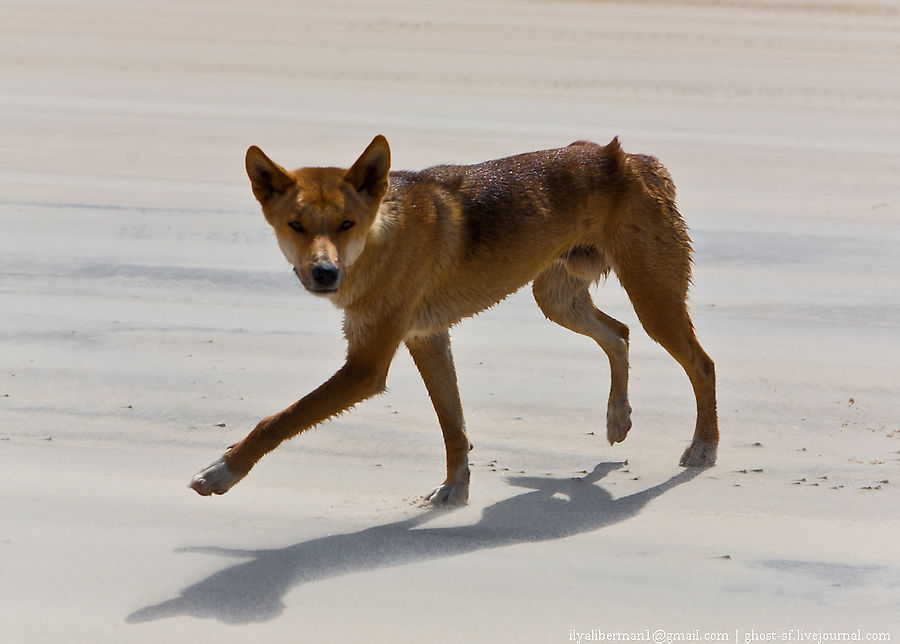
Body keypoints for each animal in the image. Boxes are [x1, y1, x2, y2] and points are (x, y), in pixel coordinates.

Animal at [190, 136, 716, 506]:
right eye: (295, 226)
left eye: (346, 225)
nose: (324, 273)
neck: (383, 237)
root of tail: (637, 159)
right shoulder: (427, 337)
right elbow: (453, 427)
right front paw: (455, 491)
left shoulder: (366, 366)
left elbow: (278, 419)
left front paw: (223, 471)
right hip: (557, 299)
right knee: (619, 336)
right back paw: (617, 417)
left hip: (652, 298)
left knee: (701, 364)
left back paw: (704, 447)